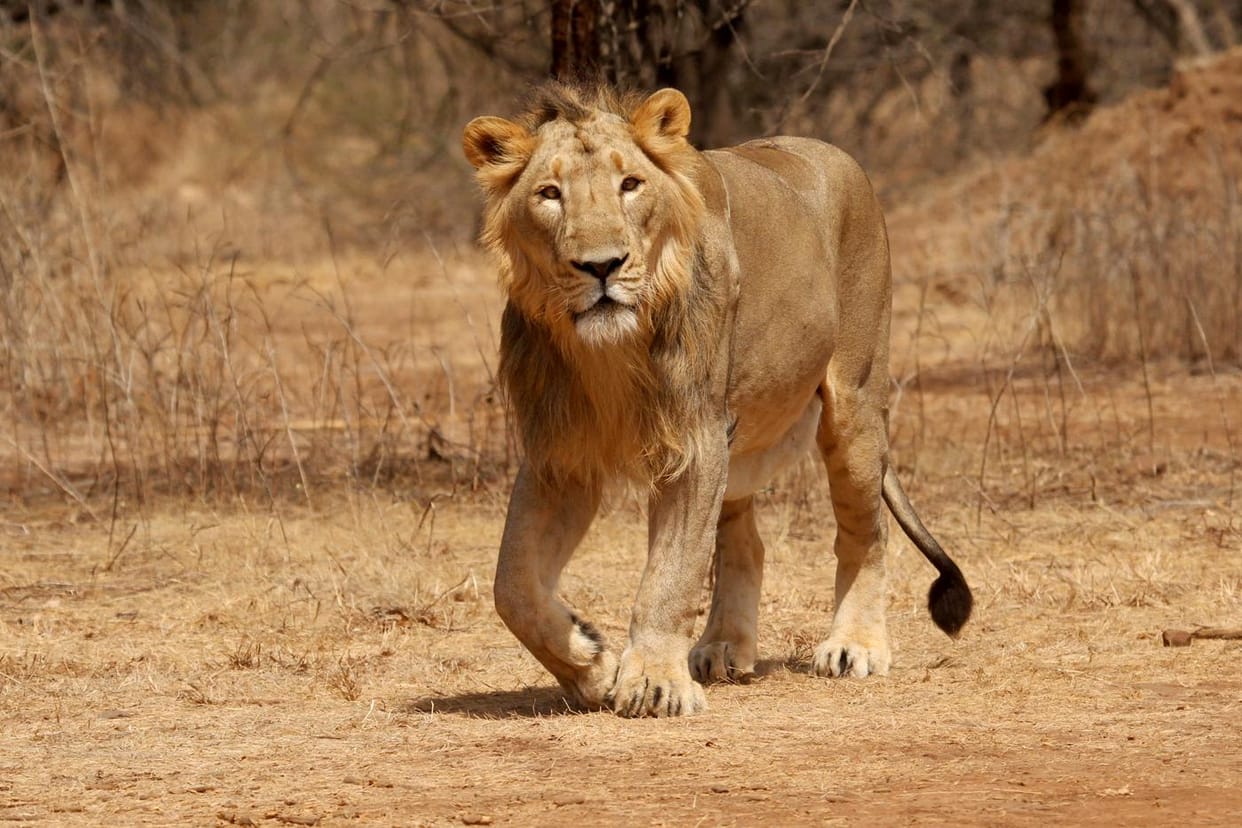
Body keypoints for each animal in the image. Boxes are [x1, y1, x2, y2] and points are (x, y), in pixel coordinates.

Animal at [462, 83, 972, 718]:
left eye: (630, 184)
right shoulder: (560, 454)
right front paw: (590, 664)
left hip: (854, 403)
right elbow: (512, 586)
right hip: (744, 436)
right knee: (744, 542)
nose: (602, 266)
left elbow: (670, 575)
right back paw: (723, 646)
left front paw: (654, 683)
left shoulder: (695, 439)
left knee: (865, 532)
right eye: (549, 195)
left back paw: (854, 646)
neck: (608, 351)